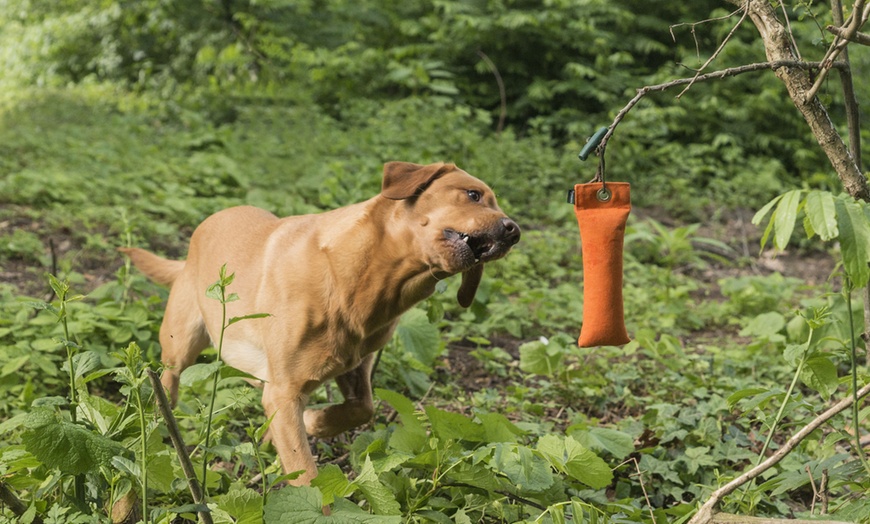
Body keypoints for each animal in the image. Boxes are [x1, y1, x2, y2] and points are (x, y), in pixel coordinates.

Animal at [119, 162, 520, 486]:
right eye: (473, 195)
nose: (514, 231)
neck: (363, 282)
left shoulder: (352, 366)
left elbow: (362, 409)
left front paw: (314, 421)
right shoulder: (285, 390)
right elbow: (308, 479)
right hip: (181, 344)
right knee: (170, 380)